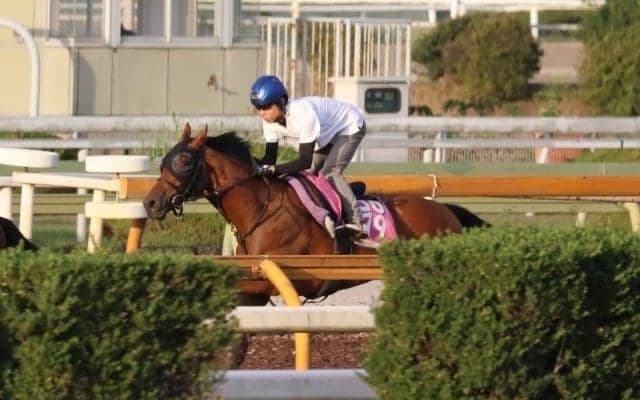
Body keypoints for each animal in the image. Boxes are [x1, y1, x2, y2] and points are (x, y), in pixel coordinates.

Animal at [143, 123, 489, 304]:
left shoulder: (283, 279)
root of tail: (447, 211)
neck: (261, 209)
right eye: (165, 159)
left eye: (184, 161)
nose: (150, 203)